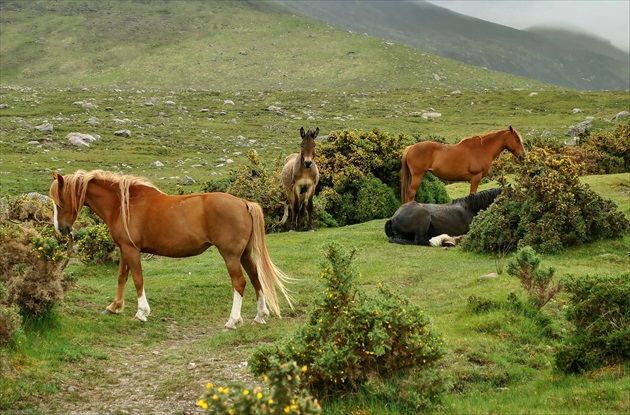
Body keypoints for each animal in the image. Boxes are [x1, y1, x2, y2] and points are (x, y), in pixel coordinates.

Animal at [49, 171, 294, 330]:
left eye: (60, 201)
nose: (61, 230)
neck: (122, 205)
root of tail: (244, 203)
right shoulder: (124, 249)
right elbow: (122, 277)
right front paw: (115, 306)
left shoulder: (131, 250)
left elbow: (137, 279)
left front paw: (141, 312)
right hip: (244, 254)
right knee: (255, 279)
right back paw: (260, 316)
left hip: (231, 256)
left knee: (240, 283)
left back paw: (233, 321)